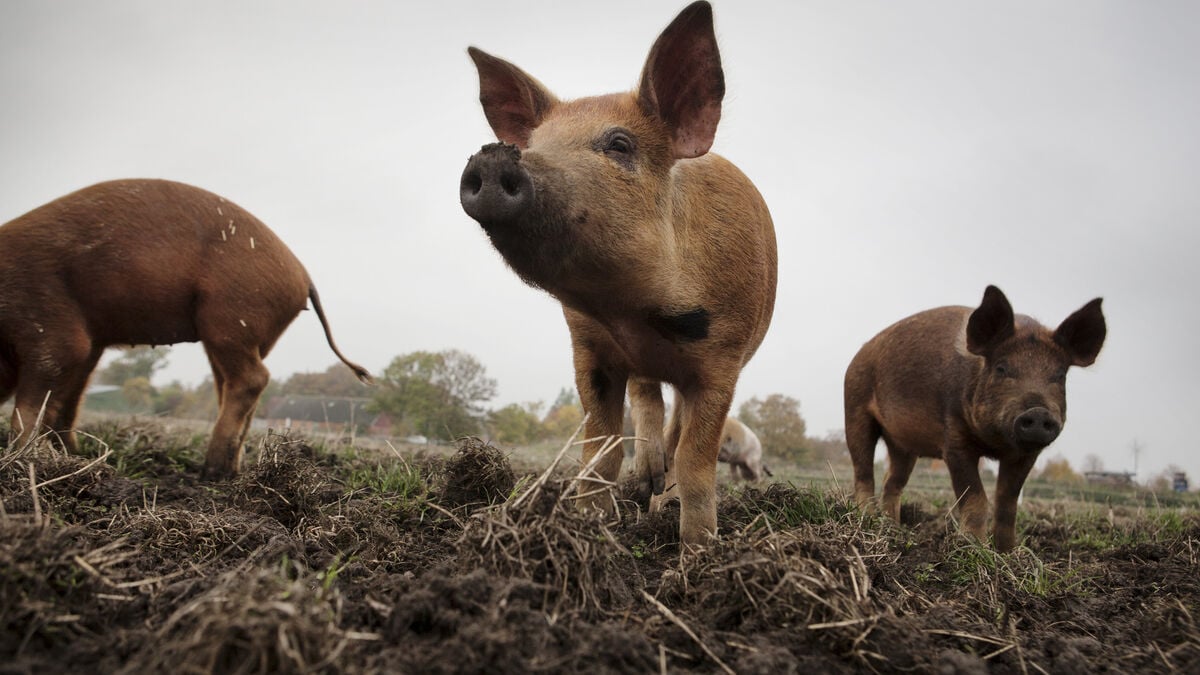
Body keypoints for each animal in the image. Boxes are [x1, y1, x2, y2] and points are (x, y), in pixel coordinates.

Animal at [0, 178, 371, 478]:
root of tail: (304, 276)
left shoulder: (49, 323)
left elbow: (35, 400)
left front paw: (21, 455)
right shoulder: (92, 342)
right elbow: (67, 399)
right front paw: (69, 456)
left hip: (229, 319)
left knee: (253, 379)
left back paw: (210, 472)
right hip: (242, 335)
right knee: (237, 386)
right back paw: (229, 472)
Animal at [458, 1, 776, 547]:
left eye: (620, 144)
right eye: (535, 142)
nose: (493, 155)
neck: (634, 314)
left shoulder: (723, 359)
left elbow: (696, 463)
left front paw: (699, 552)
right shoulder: (589, 350)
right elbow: (598, 452)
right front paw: (590, 526)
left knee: (674, 429)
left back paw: (660, 497)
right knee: (648, 399)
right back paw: (646, 483)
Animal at [844, 285, 1106, 551]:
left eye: (1060, 375)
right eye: (1001, 368)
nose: (1038, 412)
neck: (996, 445)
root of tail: (859, 353)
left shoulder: (1027, 455)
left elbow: (1007, 504)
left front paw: (1007, 552)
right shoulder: (954, 441)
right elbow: (977, 498)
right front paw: (974, 547)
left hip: (903, 444)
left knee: (892, 482)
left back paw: (893, 529)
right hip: (854, 409)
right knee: (863, 474)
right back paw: (866, 521)